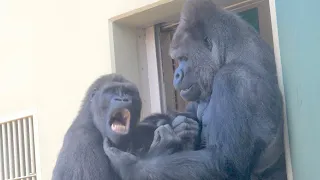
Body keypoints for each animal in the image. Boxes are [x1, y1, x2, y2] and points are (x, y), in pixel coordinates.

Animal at [104, 0, 286, 180]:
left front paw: (128, 164)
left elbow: (224, 160)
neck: (233, 52)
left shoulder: (234, 80)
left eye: (184, 58)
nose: (177, 74)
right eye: (178, 59)